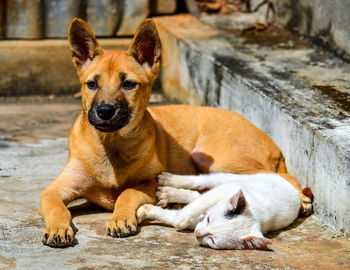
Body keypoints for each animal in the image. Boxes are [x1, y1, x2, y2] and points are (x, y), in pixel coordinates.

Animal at [38, 18, 312, 247]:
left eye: (128, 84)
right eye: (92, 84)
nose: (104, 111)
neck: (112, 145)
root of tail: (272, 143)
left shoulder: (149, 182)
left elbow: (127, 192)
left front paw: (120, 217)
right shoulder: (54, 189)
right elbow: (56, 207)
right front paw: (58, 228)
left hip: (213, 156)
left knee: (281, 177)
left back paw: (302, 199)